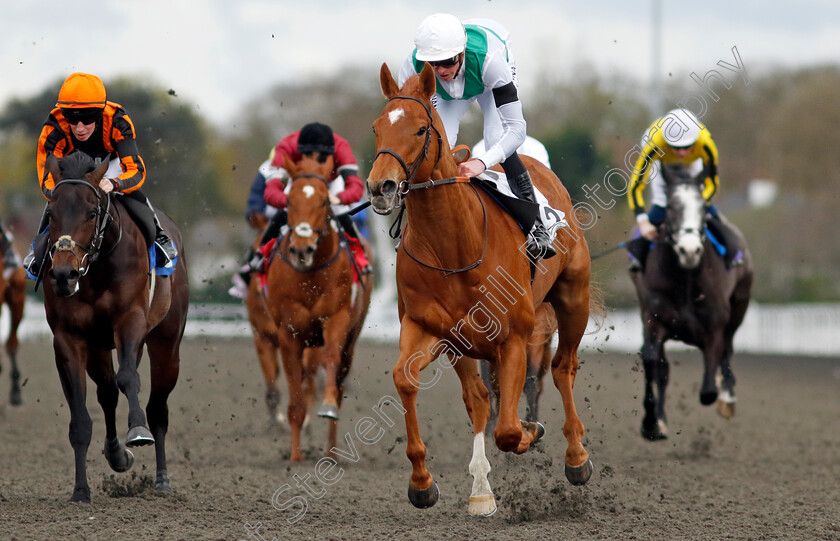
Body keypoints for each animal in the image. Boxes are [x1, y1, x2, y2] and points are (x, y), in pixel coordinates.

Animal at [43, 152, 190, 502]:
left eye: (91, 212)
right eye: (51, 213)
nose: (64, 275)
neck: (95, 269)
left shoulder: (130, 320)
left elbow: (129, 378)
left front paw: (137, 431)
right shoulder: (69, 339)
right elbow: (81, 417)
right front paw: (80, 490)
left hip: (167, 344)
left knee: (157, 406)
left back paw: (162, 480)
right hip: (98, 347)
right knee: (107, 393)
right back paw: (116, 455)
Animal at [266, 152, 370, 460]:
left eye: (324, 201)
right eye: (289, 201)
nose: (302, 249)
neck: (309, 275)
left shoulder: (336, 320)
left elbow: (331, 363)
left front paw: (328, 407)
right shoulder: (288, 334)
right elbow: (295, 398)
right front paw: (295, 455)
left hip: (351, 339)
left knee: (338, 377)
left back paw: (332, 451)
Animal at [368, 63, 596, 516]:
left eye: (420, 129)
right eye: (377, 128)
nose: (380, 187)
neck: (455, 245)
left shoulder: (515, 337)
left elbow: (509, 430)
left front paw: (531, 429)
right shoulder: (428, 329)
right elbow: (406, 378)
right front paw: (422, 482)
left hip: (573, 297)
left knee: (563, 368)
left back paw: (576, 455)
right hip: (466, 344)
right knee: (477, 397)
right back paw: (481, 488)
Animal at [632, 163, 756, 438]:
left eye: (702, 208)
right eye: (671, 206)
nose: (689, 250)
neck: (685, 282)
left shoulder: (715, 325)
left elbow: (708, 388)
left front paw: (721, 392)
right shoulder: (653, 320)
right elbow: (652, 361)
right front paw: (651, 422)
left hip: (740, 306)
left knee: (727, 349)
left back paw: (727, 395)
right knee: (662, 367)